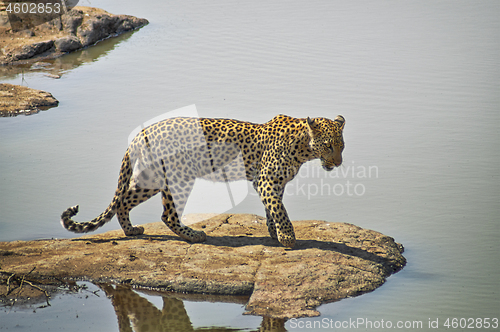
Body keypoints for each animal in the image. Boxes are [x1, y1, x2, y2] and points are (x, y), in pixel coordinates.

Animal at [61, 114, 344, 246]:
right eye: (329, 145)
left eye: (341, 146)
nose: (339, 162)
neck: (304, 149)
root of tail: (141, 134)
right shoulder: (266, 181)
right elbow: (279, 209)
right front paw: (287, 237)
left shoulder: (274, 183)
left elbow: (272, 208)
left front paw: (274, 234)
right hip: (177, 177)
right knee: (168, 215)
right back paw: (194, 235)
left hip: (152, 177)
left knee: (124, 200)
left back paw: (131, 231)